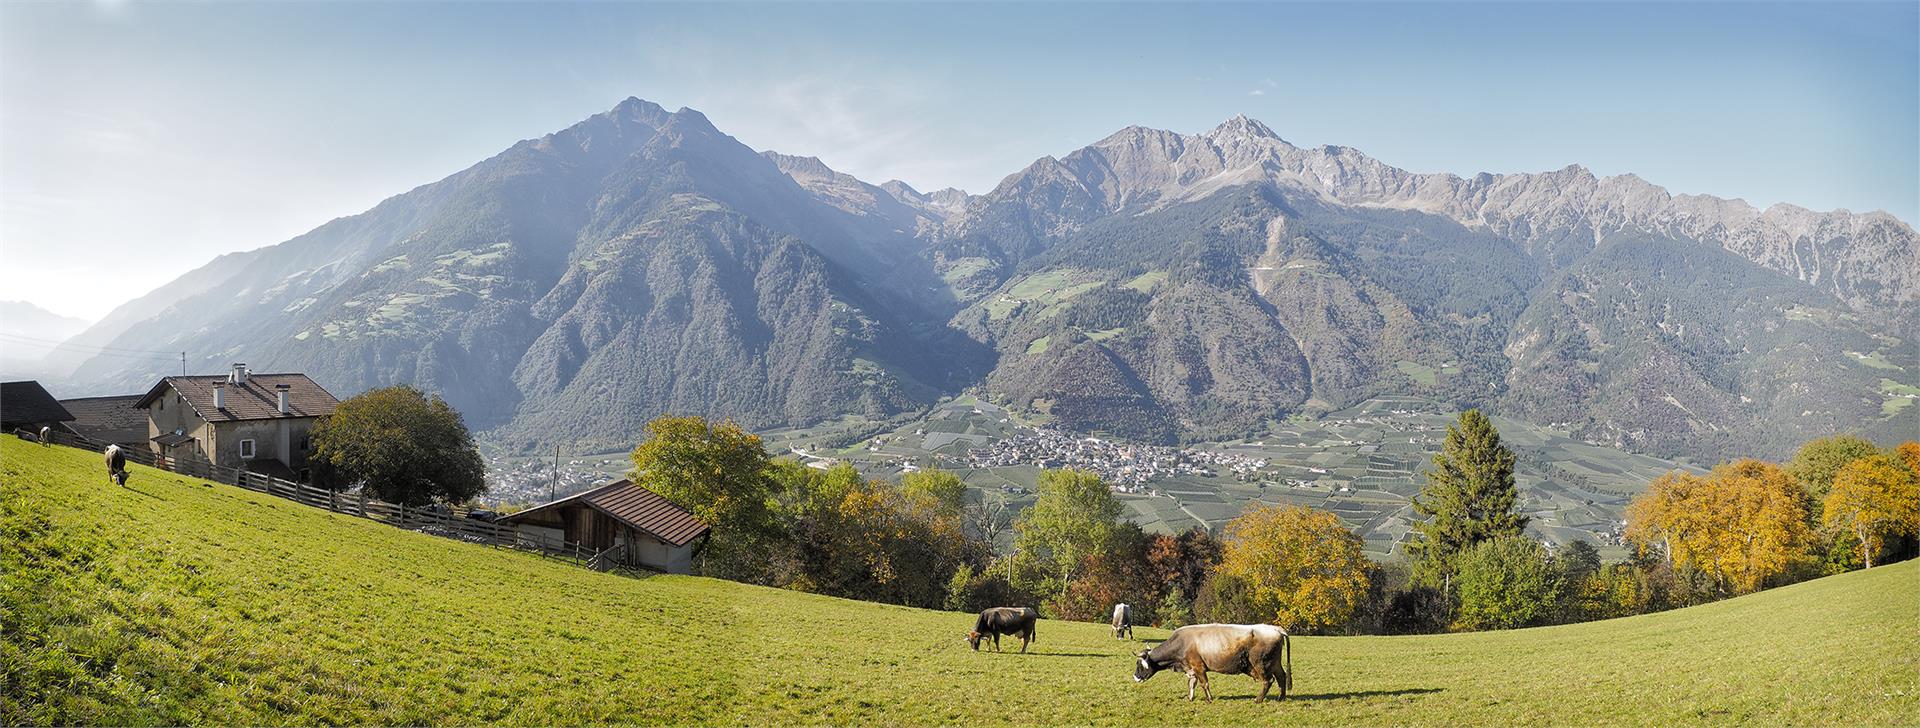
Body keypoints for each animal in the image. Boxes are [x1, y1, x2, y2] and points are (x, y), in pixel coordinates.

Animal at [1128, 626, 1297, 703]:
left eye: (1139, 665)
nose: (1135, 677)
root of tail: (1274, 628)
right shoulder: (1191, 669)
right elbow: (1192, 684)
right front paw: (1190, 698)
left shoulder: (1199, 667)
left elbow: (1204, 684)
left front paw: (1209, 699)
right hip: (1275, 663)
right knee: (1282, 677)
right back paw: (1281, 698)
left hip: (1260, 664)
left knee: (1268, 680)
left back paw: (1258, 699)